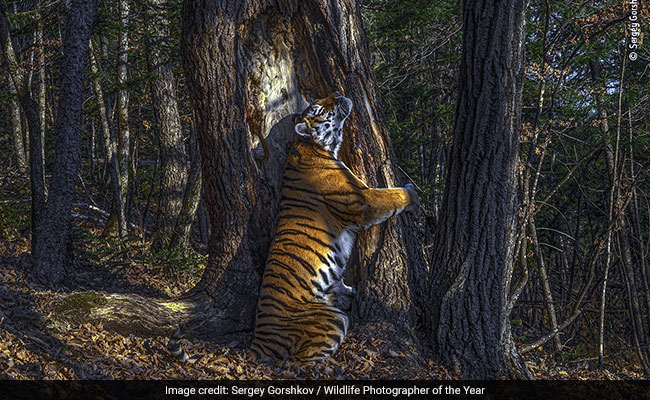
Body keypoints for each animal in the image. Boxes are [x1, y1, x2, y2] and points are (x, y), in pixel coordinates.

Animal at [249, 92, 420, 365]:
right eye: (319, 109)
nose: (338, 94)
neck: (311, 147)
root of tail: (258, 340)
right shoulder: (363, 201)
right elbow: (392, 195)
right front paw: (413, 195)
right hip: (331, 319)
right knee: (299, 362)